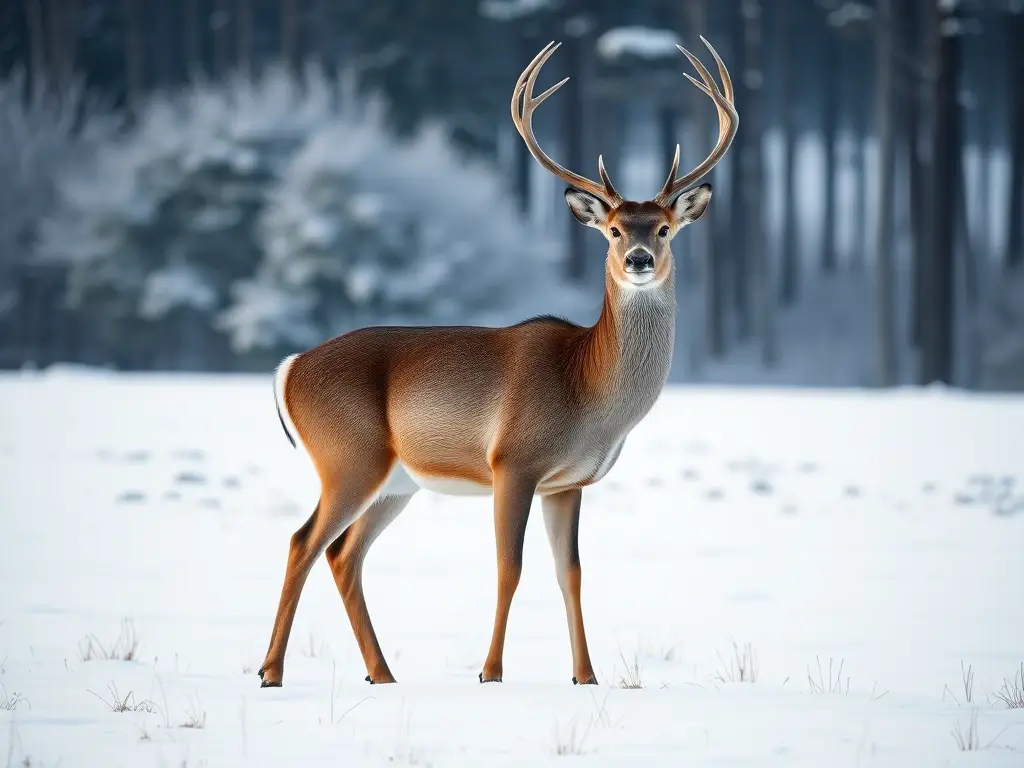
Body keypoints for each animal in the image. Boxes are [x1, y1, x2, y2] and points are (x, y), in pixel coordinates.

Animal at [258, 37, 737, 689]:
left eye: (664, 229)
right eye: (614, 230)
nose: (638, 259)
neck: (588, 391)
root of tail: (288, 367)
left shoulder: (568, 481)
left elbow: (571, 573)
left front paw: (586, 677)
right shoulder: (513, 460)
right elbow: (509, 566)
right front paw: (490, 672)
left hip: (395, 480)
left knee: (342, 553)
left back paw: (381, 674)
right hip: (347, 455)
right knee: (302, 540)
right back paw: (271, 672)